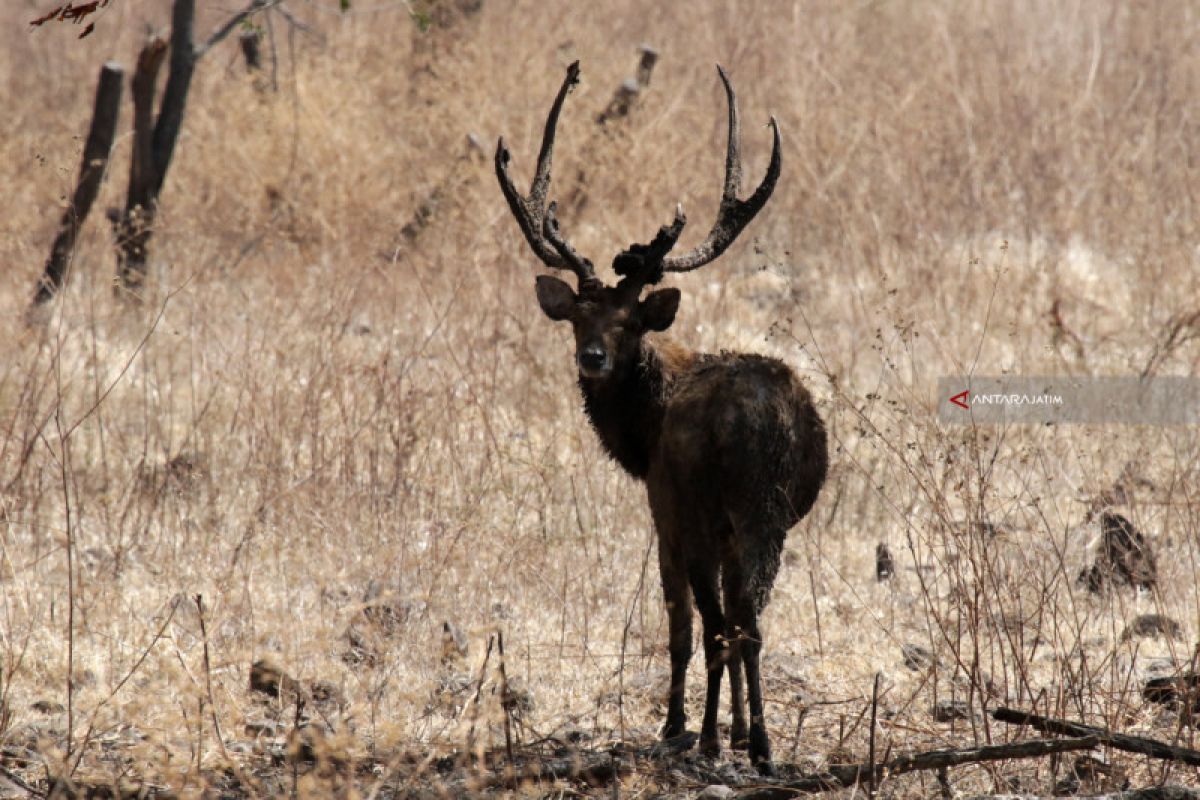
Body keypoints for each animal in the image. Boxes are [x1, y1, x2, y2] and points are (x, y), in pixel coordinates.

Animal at [494, 62, 825, 777]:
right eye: (579, 319)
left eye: (628, 322)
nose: (592, 358)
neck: (641, 434)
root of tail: (758, 425)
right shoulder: (727, 530)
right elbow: (731, 619)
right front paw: (736, 730)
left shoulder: (663, 507)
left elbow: (677, 623)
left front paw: (677, 726)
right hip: (766, 513)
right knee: (749, 622)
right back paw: (759, 747)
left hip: (702, 504)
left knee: (712, 623)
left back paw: (702, 738)